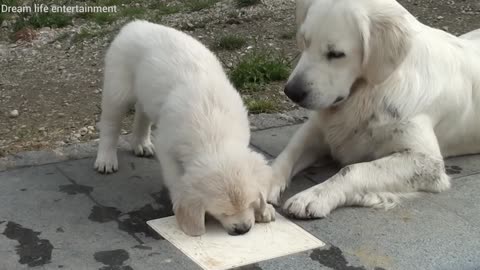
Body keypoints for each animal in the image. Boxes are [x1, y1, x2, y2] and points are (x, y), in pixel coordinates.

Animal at [94, 21, 276, 235]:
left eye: (249, 203)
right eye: (222, 213)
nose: (243, 229)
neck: (214, 134)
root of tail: (136, 23)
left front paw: (265, 209)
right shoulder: (167, 147)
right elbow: (175, 179)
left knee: (141, 112)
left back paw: (141, 143)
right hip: (118, 89)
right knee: (110, 124)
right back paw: (106, 159)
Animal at [270, 0, 480, 219]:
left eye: (336, 54)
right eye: (305, 41)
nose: (291, 92)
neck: (371, 91)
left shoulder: (427, 161)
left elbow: (352, 169)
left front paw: (314, 196)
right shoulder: (318, 128)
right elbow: (288, 153)